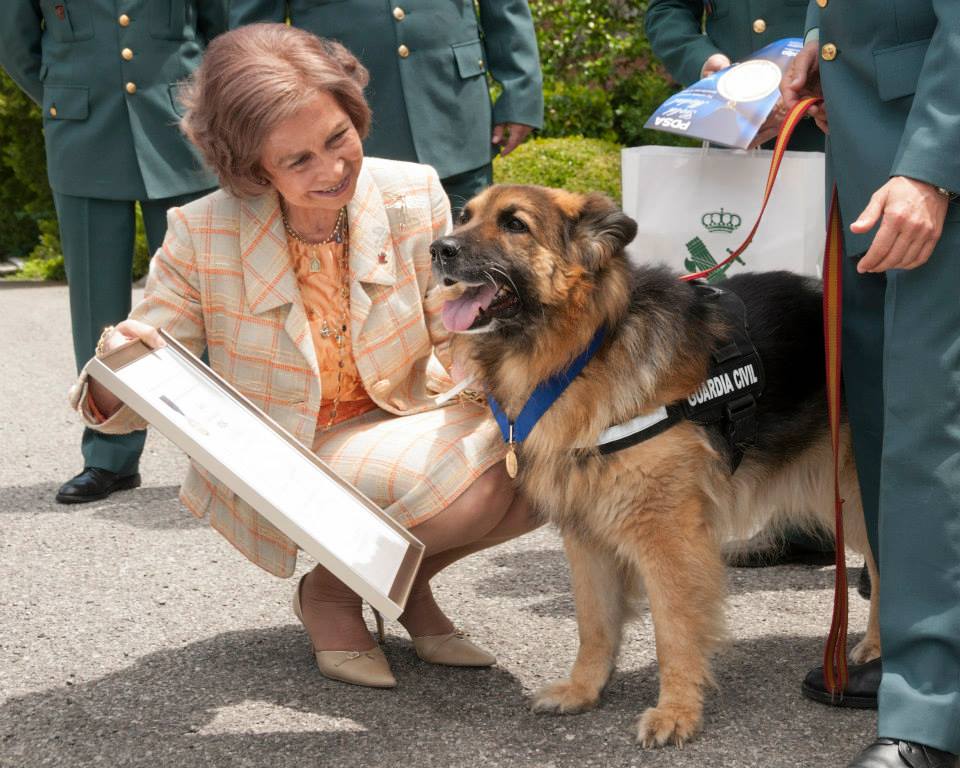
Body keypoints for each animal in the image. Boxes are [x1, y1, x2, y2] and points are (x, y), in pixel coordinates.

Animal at [432, 188, 880, 752]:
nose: (437, 250)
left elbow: (673, 629)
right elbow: (594, 622)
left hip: (859, 496)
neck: (586, 349)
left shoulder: (668, 537)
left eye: (515, 224)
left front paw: (678, 711)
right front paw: (584, 689)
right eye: (464, 216)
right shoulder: (586, 534)